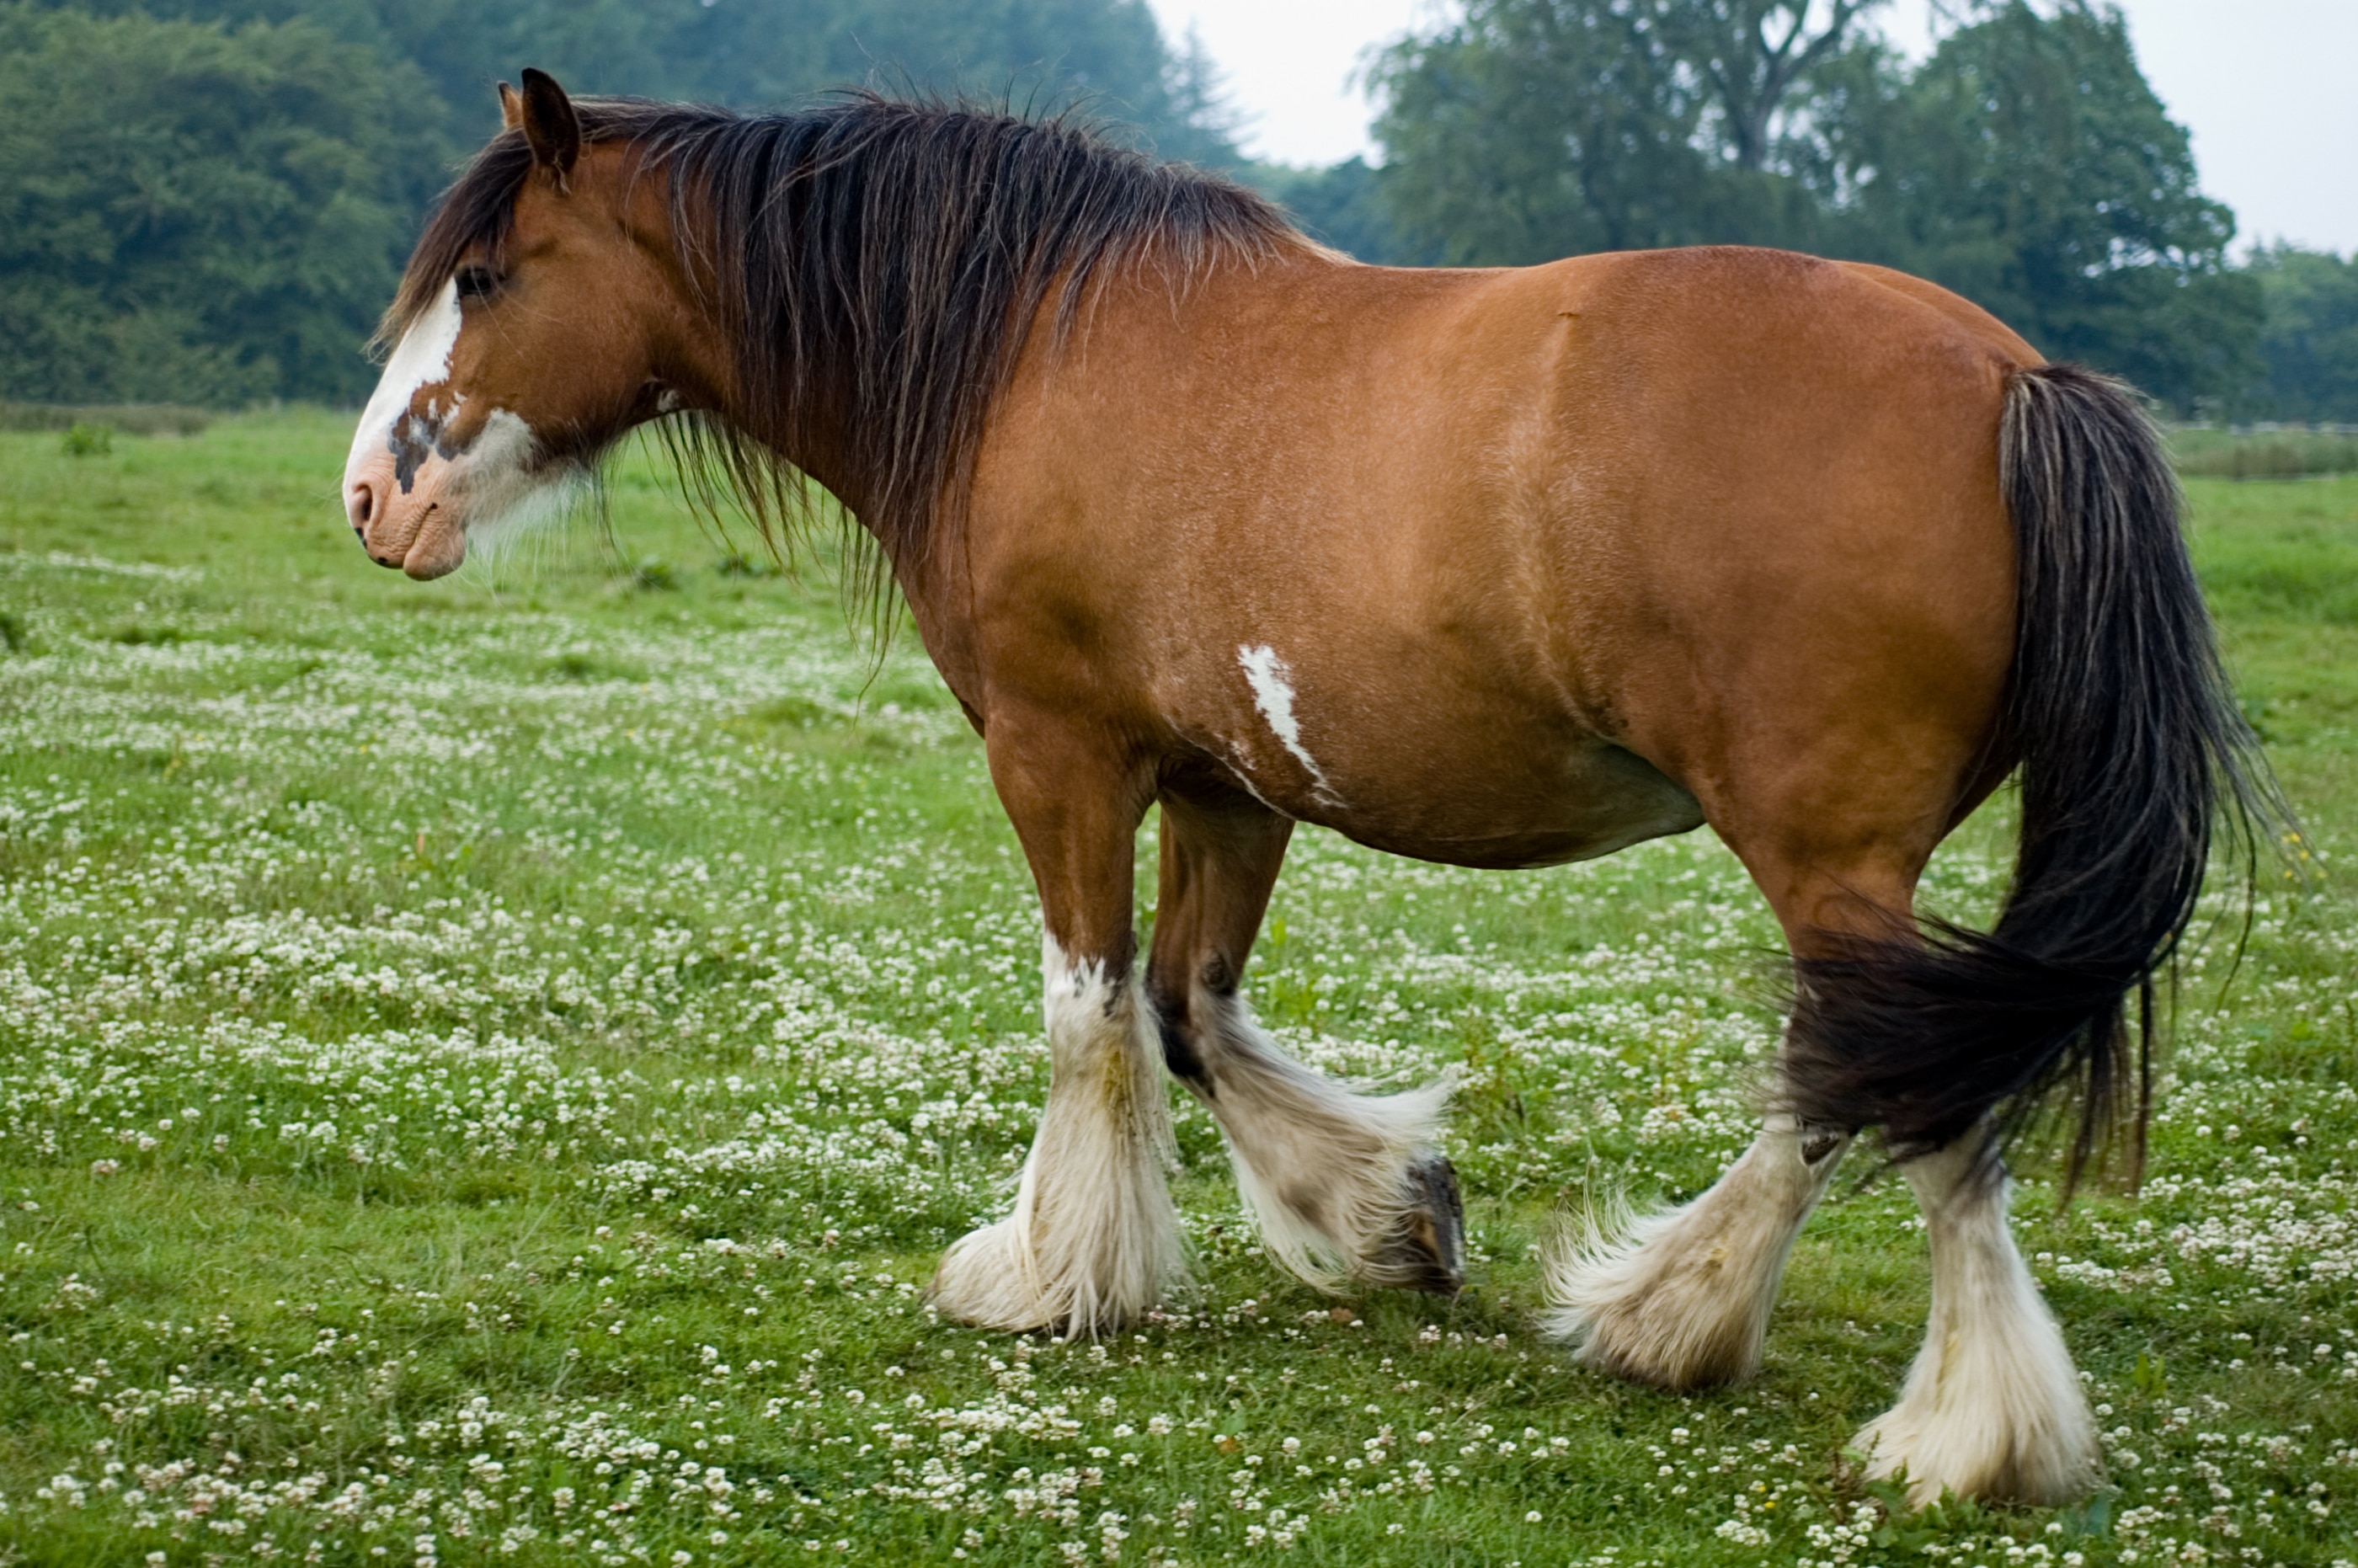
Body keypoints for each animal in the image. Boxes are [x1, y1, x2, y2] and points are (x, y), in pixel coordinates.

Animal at [342, 73, 2273, 1509]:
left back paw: (1947, 1431)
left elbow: (1090, 1011)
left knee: (1910, 1098)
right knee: (1853, 1080)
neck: (1027, 350)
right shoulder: (1226, 782)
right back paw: (1671, 1319)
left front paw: (1052, 1275)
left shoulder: (1058, 756)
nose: (373, 496)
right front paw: (1386, 1214)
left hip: (1822, 853)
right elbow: (1192, 1014)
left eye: (489, 278)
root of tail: (2016, 377)